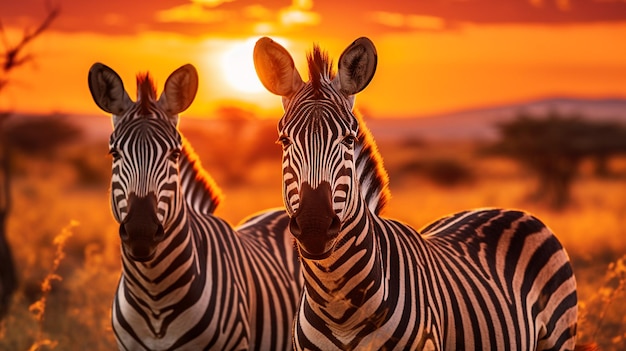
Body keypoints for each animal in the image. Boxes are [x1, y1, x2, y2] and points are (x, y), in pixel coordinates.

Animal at [252, 37, 576, 350]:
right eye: (283, 140)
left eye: (349, 139)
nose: (314, 228)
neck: (337, 304)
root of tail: (510, 210)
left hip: (559, 337)